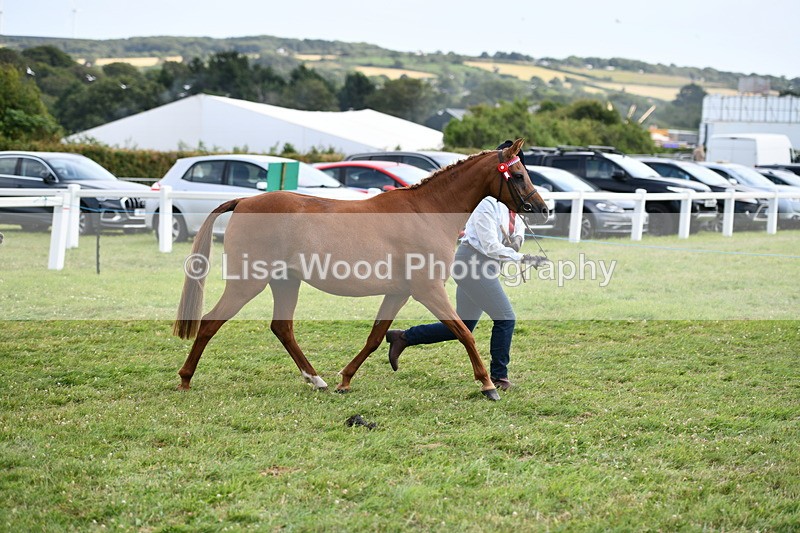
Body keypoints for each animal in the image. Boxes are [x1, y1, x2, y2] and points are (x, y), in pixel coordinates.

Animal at [173, 138, 549, 400]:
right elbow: (464, 333)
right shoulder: (428, 290)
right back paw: (185, 379)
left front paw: (345, 380)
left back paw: (318, 380)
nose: (543, 208)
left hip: (285, 282)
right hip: (248, 282)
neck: (426, 212)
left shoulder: (399, 292)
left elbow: (376, 337)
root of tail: (244, 200)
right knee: (210, 323)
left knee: (282, 328)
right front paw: (487, 385)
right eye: (518, 174)